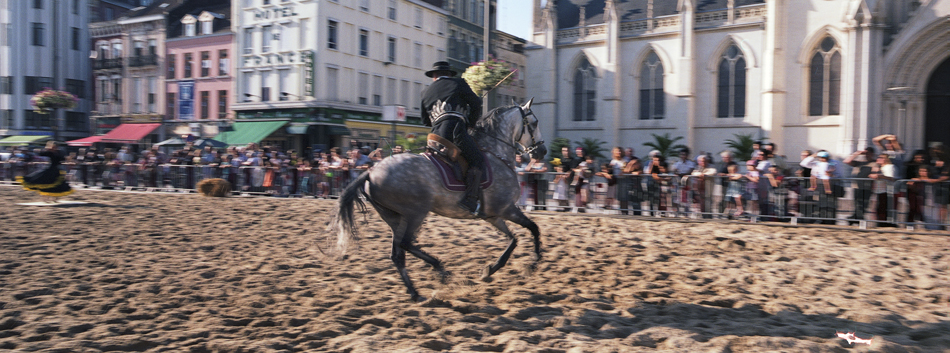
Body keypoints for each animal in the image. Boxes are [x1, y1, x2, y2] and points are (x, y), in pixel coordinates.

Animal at [330, 98, 548, 300]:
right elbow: (531, 229)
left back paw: (415, 292)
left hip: (395, 217)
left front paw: (490, 270)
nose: (542, 151)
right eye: (535, 122)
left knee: (398, 254)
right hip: (416, 213)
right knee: (406, 244)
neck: (496, 154)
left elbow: (514, 239)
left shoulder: (493, 215)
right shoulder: (506, 209)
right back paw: (440, 269)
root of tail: (371, 171)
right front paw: (534, 262)